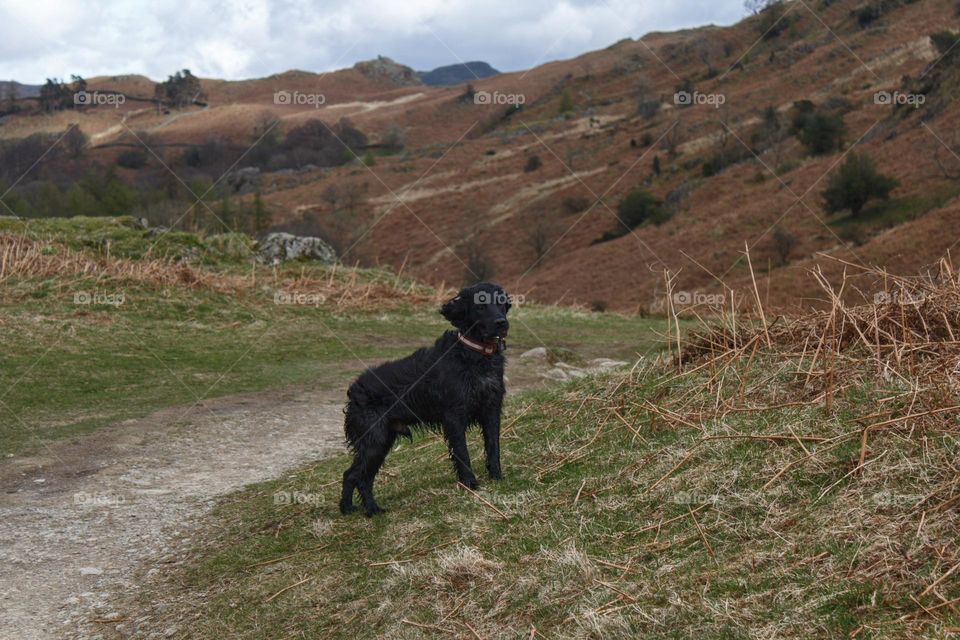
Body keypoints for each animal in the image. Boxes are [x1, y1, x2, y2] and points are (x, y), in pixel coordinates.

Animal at [344, 282, 512, 516]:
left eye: (501, 303)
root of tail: (354, 391)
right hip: (374, 441)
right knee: (357, 476)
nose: (501, 322)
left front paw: (497, 477)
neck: (475, 354)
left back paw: (348, 508)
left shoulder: (491, 410)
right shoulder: (454, 417)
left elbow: (493, 448)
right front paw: (470, 484)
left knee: (353, 475)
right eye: (480, 306)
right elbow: (462, 454)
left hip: (382, 441)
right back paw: (371, 510)